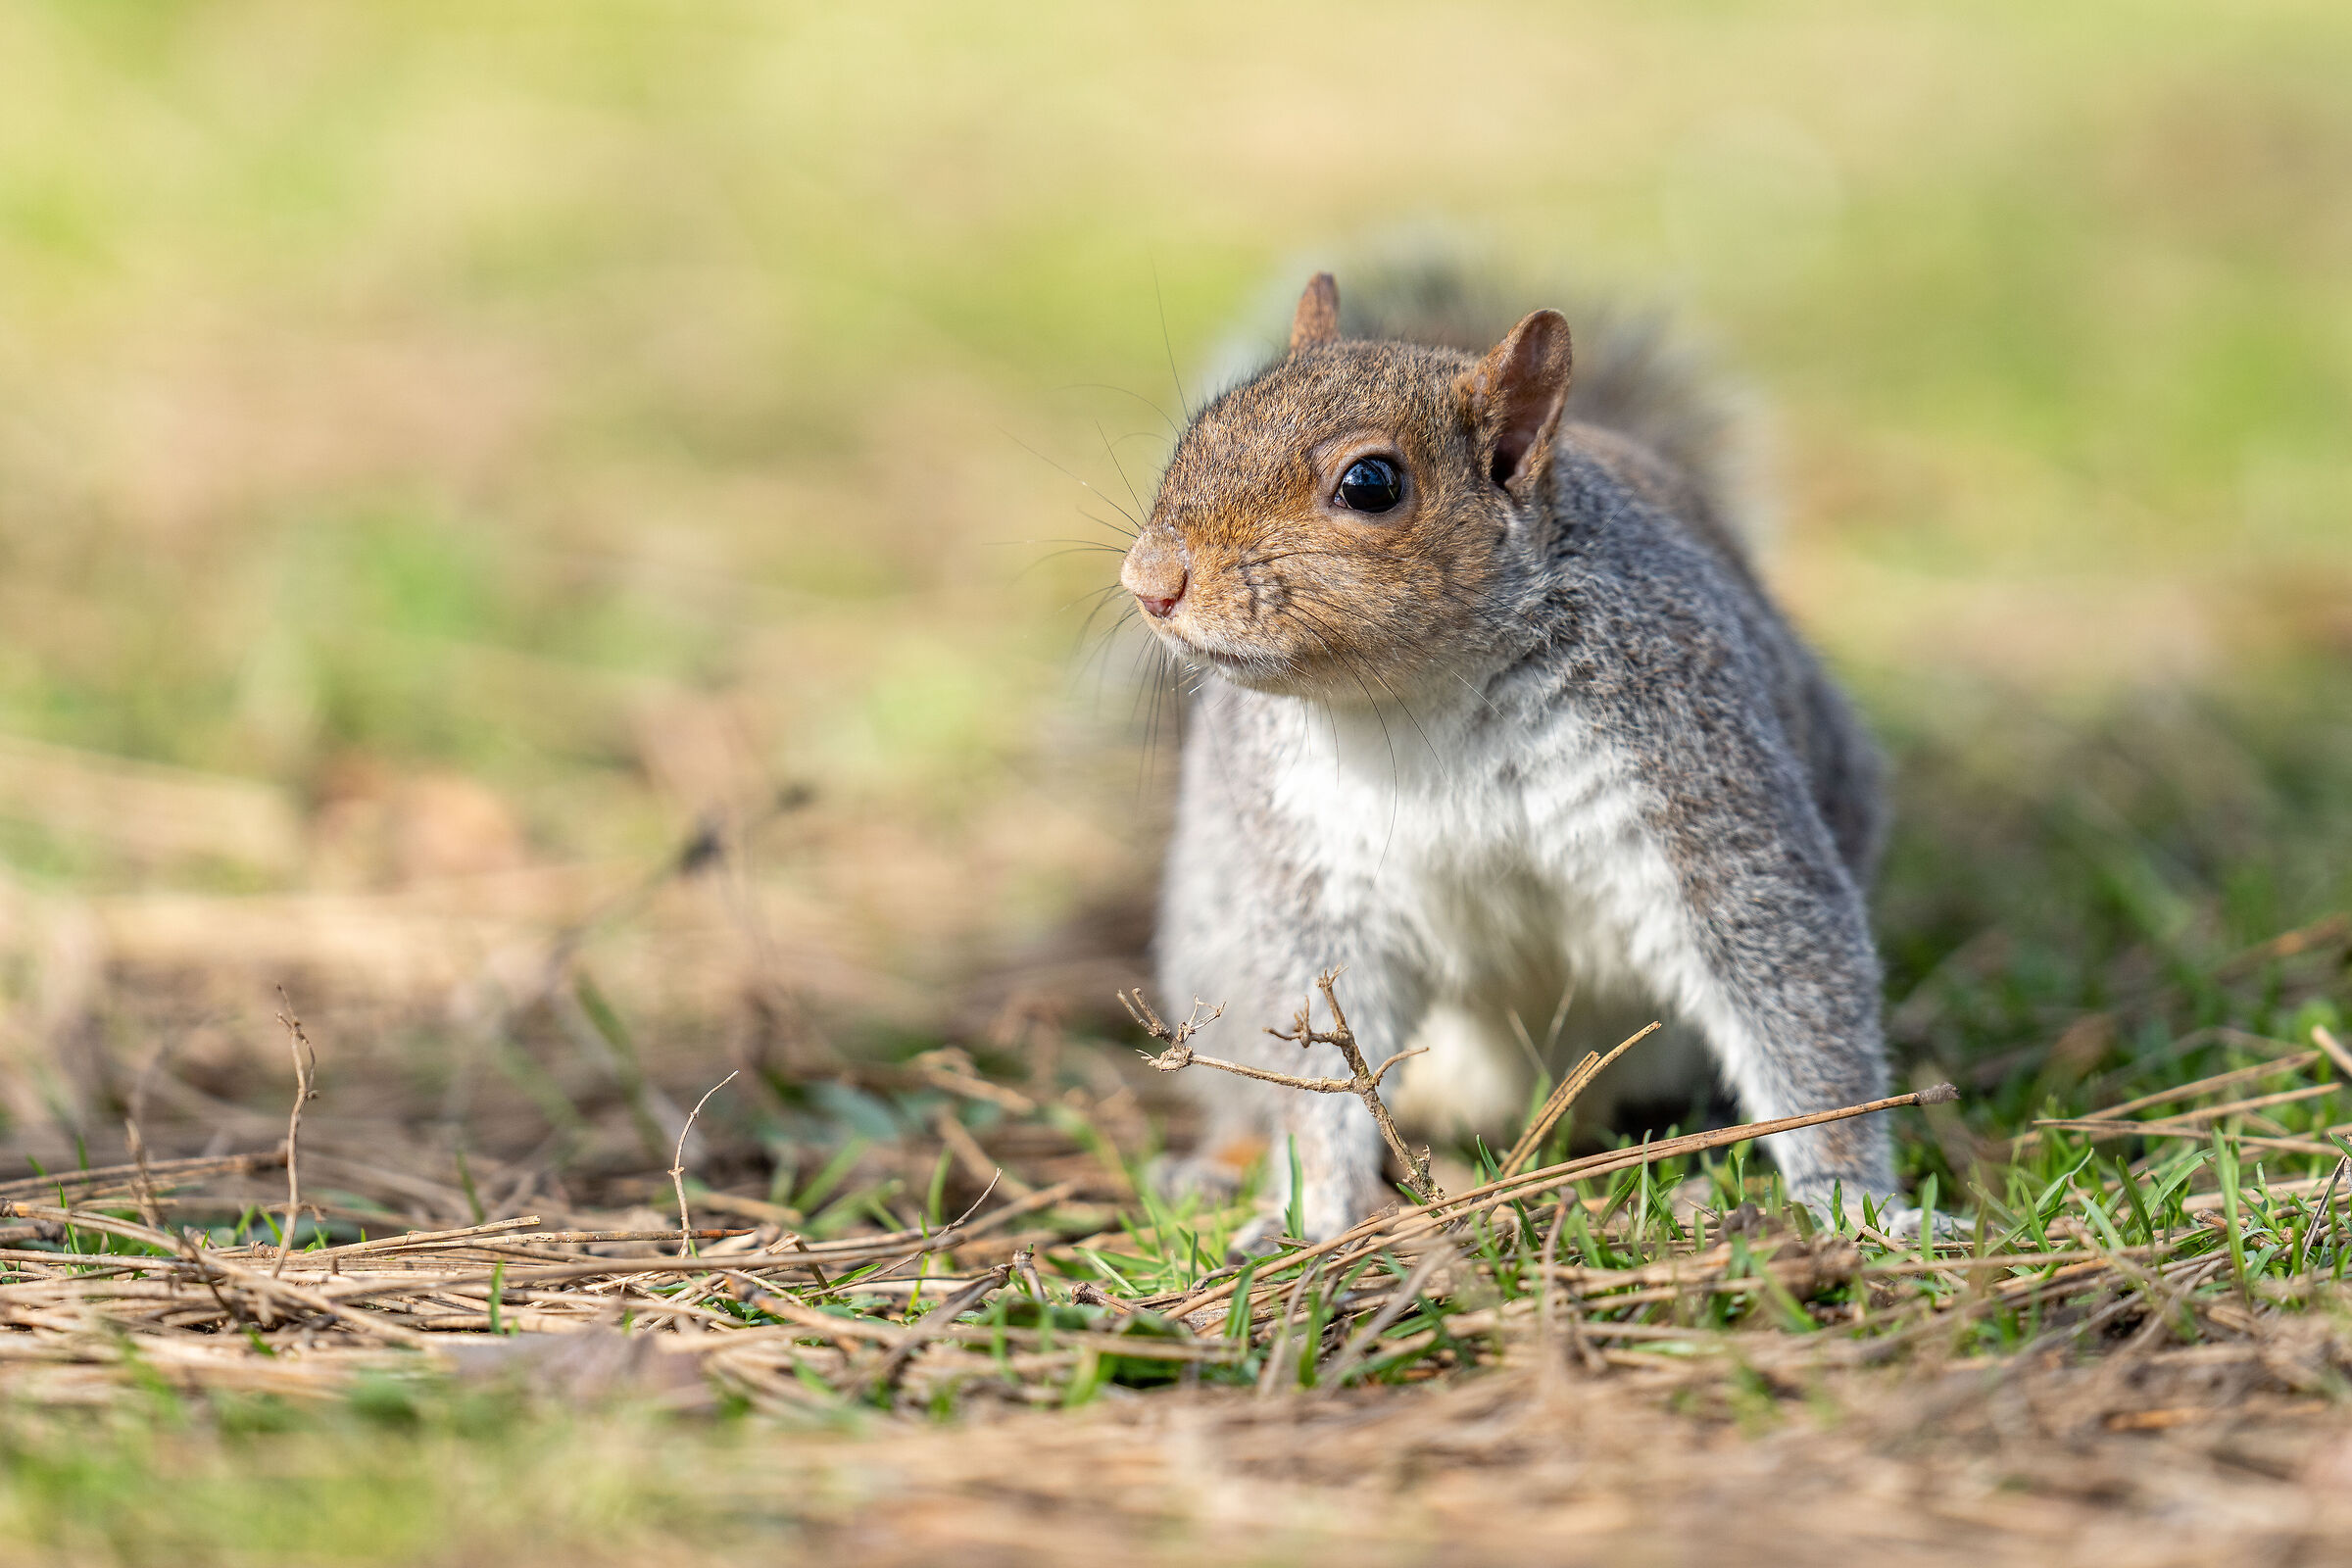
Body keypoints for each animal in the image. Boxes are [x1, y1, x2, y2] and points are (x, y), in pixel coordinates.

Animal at [1120, 263, 1903, 1247]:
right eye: (1202, 428)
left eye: (1371, 483)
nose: (1149, 582)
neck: (1427, 696)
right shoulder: (1313, 871)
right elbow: (1320, 1056)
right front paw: (1319, 1212)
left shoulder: (1699, 777)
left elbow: (1790, 971)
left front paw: (1856, 1199)